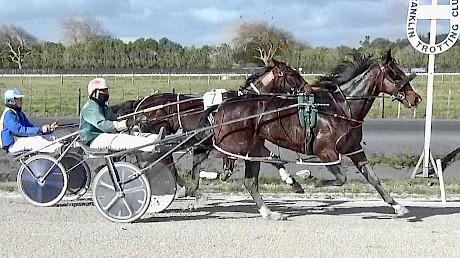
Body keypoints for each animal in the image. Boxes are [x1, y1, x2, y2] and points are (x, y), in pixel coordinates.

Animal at [210, 50, 422, 220]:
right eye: (395, 74)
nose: (416, 98)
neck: (340, 108)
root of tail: (224, 104)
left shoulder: (354, 149)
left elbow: (373, 178)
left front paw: (397, 206)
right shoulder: (325, 151)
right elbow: (341, 178)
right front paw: (310, 180)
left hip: (252, 148)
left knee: (250, 181)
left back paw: (269, 212)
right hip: (235, 146)